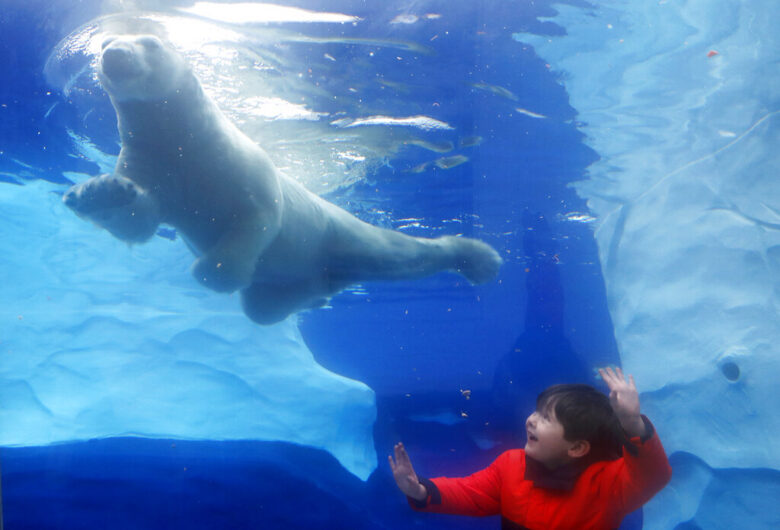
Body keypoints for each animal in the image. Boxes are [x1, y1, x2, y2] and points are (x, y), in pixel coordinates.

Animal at [63, 34, 502, 324]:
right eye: (104, 43)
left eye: (150, 42)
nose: (113, 54)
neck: (188, 142)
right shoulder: (156, 165)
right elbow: (140, 221)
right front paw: (96, 193)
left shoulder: (238, 167)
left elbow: (258, 217)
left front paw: (214, 271)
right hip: (293, 278)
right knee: (263, 307)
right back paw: (311, 298)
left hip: (332, 229)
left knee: (390, 252)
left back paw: (477, 257)